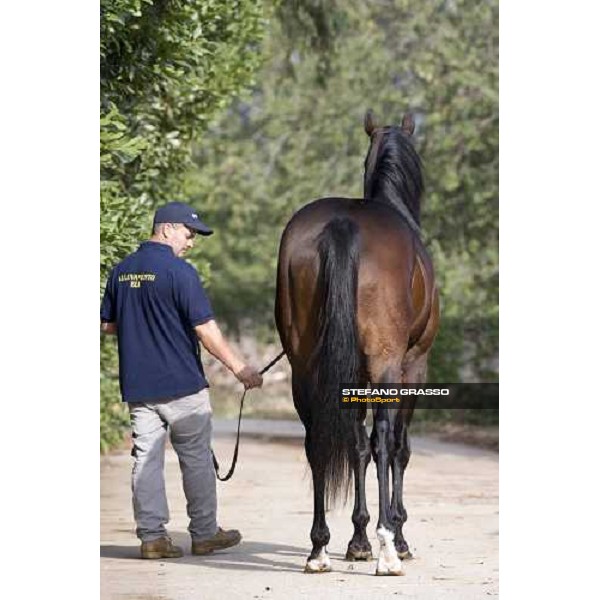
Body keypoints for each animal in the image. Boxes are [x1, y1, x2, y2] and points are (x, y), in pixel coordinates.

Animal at [274, 109, 438, 576]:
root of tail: (343, 223)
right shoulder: (413, 366)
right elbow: (396, 446)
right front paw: (396, 536)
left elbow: (355, 445)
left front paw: (357, 539)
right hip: (386, 364)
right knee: (384, 439)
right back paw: (387, 550)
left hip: (304, 367)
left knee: (316, 439)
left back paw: (319, 549)